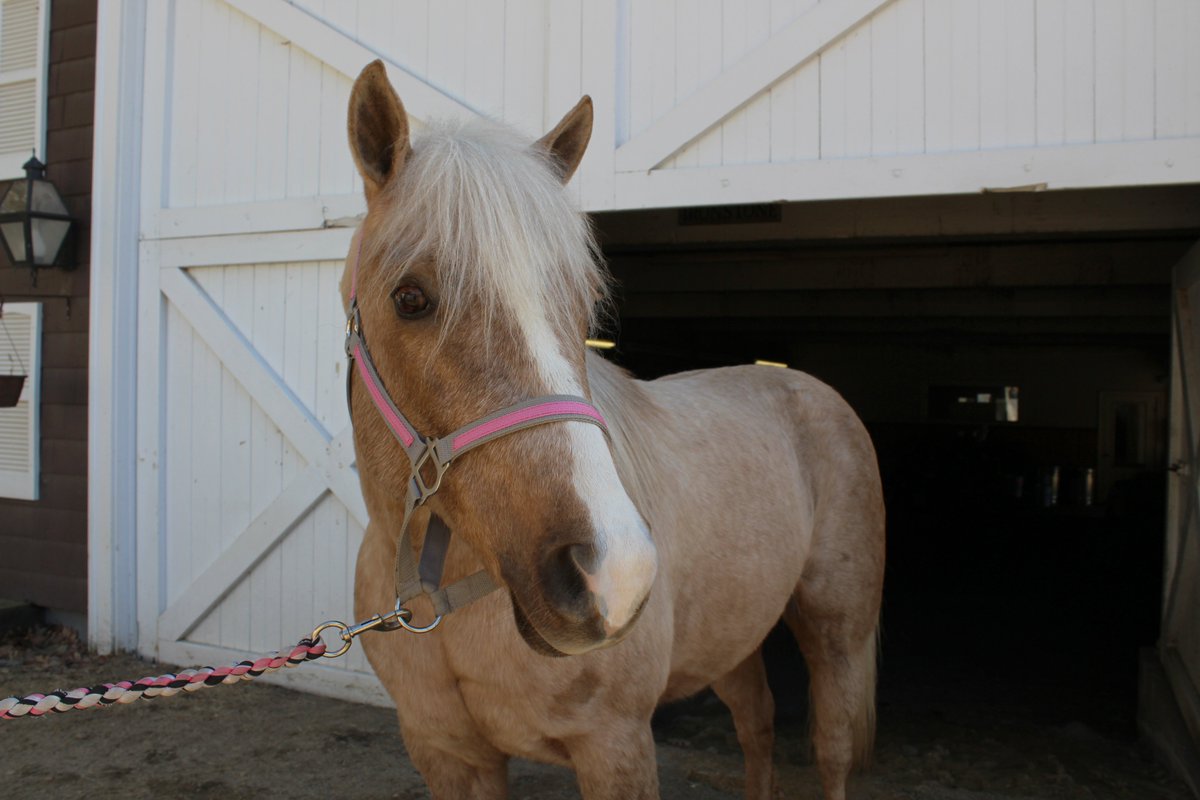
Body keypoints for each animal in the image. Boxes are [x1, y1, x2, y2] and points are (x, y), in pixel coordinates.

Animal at [343, 60, 885, 800]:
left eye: (585, 302)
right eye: (409, 298)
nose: (614, 575)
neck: (448, 594)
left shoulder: (615, 745)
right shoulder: (447, 753)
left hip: (838, 632)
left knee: (830, 748)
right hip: (733, 637)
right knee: (758, 726)